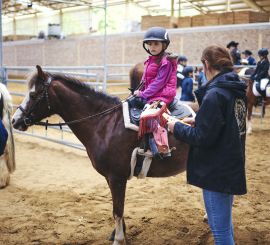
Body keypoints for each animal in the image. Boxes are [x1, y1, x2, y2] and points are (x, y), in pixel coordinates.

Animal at [12, 65, 190, 245]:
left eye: (33, 95)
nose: (14, 120)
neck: (105, 124)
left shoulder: (117, 177)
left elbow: (117, 210)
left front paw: (118, 239)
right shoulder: (110, 177)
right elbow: (117, 208)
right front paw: (118, 233)